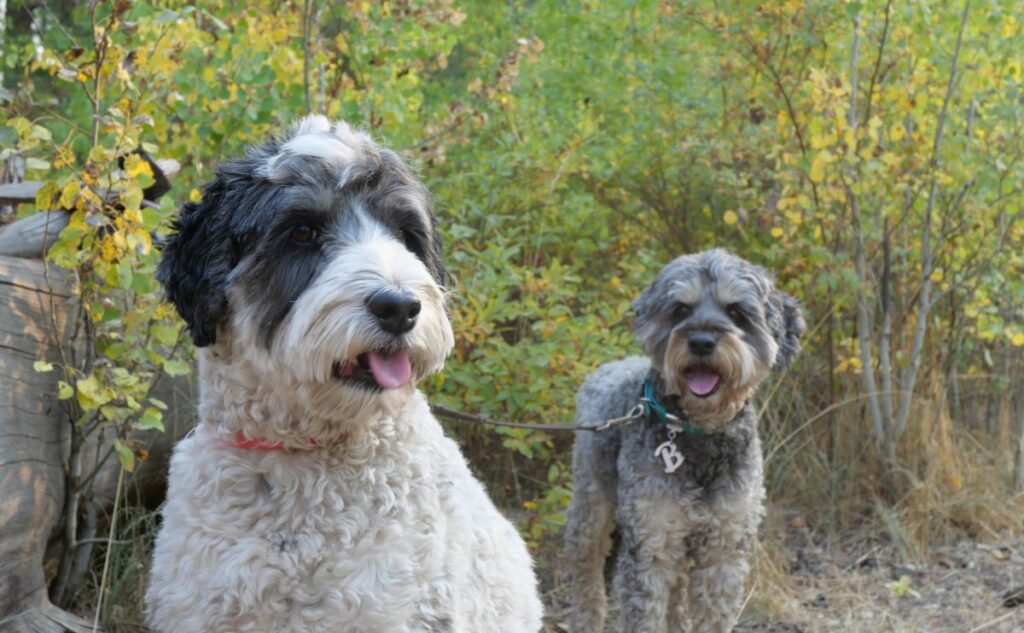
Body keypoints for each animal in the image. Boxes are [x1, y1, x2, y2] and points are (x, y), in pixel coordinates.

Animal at [565, 248, 802, 630]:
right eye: (680, 310)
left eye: (736, 311)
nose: (701, 342)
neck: (697, 434)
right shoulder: (650, 545)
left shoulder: (724, 548)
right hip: (590, 510)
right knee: (587, 579)